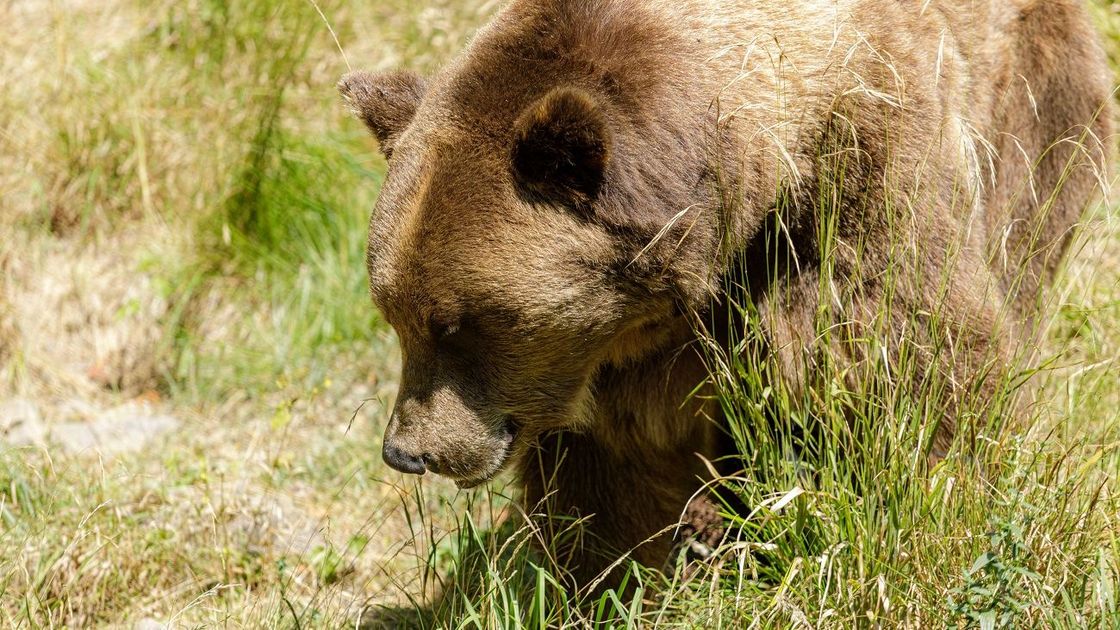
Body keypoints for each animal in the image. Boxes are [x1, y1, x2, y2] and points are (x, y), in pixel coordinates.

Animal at [339, 0, 1113, 589]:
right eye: (393, 313)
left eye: (458, 323)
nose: (407, 452)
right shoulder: (624, 342)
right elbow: (616, 464)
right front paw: (610, 573)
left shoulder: (862, 169)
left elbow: (902, 359)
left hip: (1033, 115)